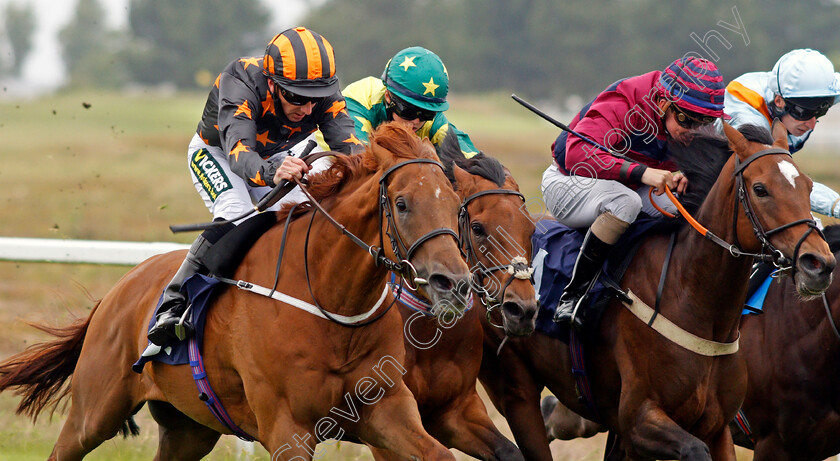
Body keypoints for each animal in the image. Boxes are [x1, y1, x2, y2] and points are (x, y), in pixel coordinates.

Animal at [0, 122, 472, 460]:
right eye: (402, 204)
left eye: (455, 203)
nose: (455, 284)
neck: (330, 305)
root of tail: (119, 290)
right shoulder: (287, 429)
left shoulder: (386, 408)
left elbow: (438, 453)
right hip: (94, 410)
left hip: (188, 428)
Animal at [366, 141, 540, 460]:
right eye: (478, 228)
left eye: (531, 229)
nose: (522, 310)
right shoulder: (383, 426)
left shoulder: (456, 411)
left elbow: (510, 451)